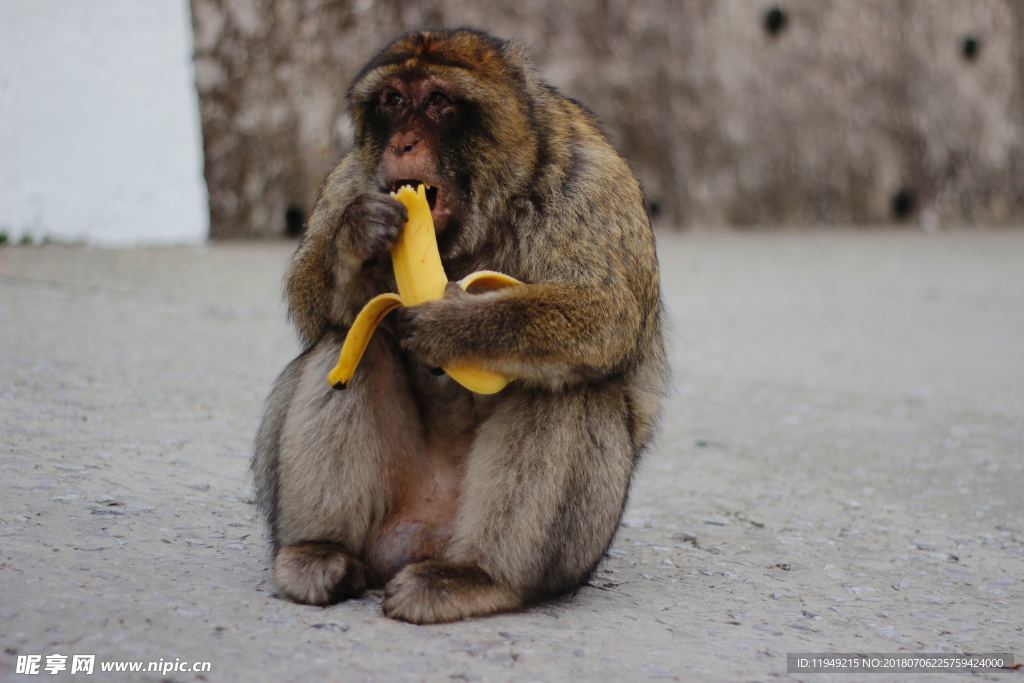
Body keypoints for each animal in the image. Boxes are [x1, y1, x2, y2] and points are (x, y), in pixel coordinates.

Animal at [252, 26, 667, 626]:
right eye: (393, 100)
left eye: (438, 102)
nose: (402, 144)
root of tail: (424, 538)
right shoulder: (351, 178)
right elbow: (311, 306)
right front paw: (358, 238)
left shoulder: (592, 184)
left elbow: (604, 313)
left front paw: (457, 324)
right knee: (352, 342)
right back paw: (318, 551)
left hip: (575, 548)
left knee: (566, 386)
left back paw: (477, 576)